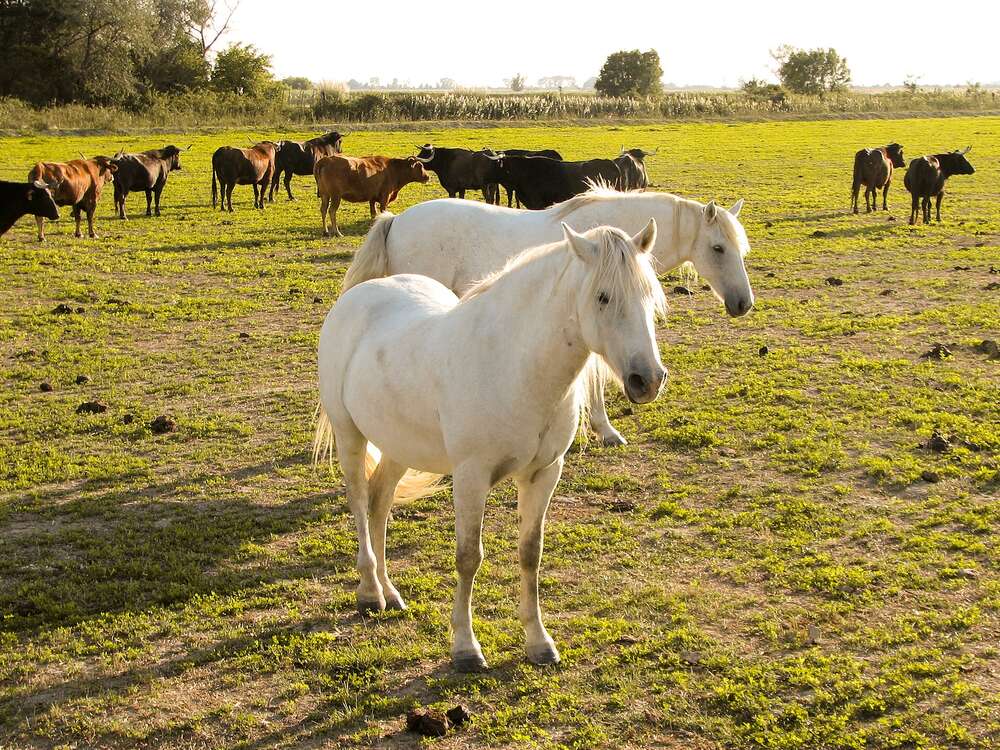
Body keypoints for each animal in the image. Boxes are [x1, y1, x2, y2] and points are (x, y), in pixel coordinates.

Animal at [314, 221, 667, 672]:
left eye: (650, 294)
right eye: (603, 297)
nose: (648, 379)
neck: (513, 364)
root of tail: (359, 295)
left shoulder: (544, 472)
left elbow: (530, 553)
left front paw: (539, 643)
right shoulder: (471, 477)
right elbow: (468, 557)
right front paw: (465, 648)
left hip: (399, 446)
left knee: (379, 505)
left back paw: (390, 592)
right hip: (350, 437)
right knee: (359, 504)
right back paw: (370, 593)